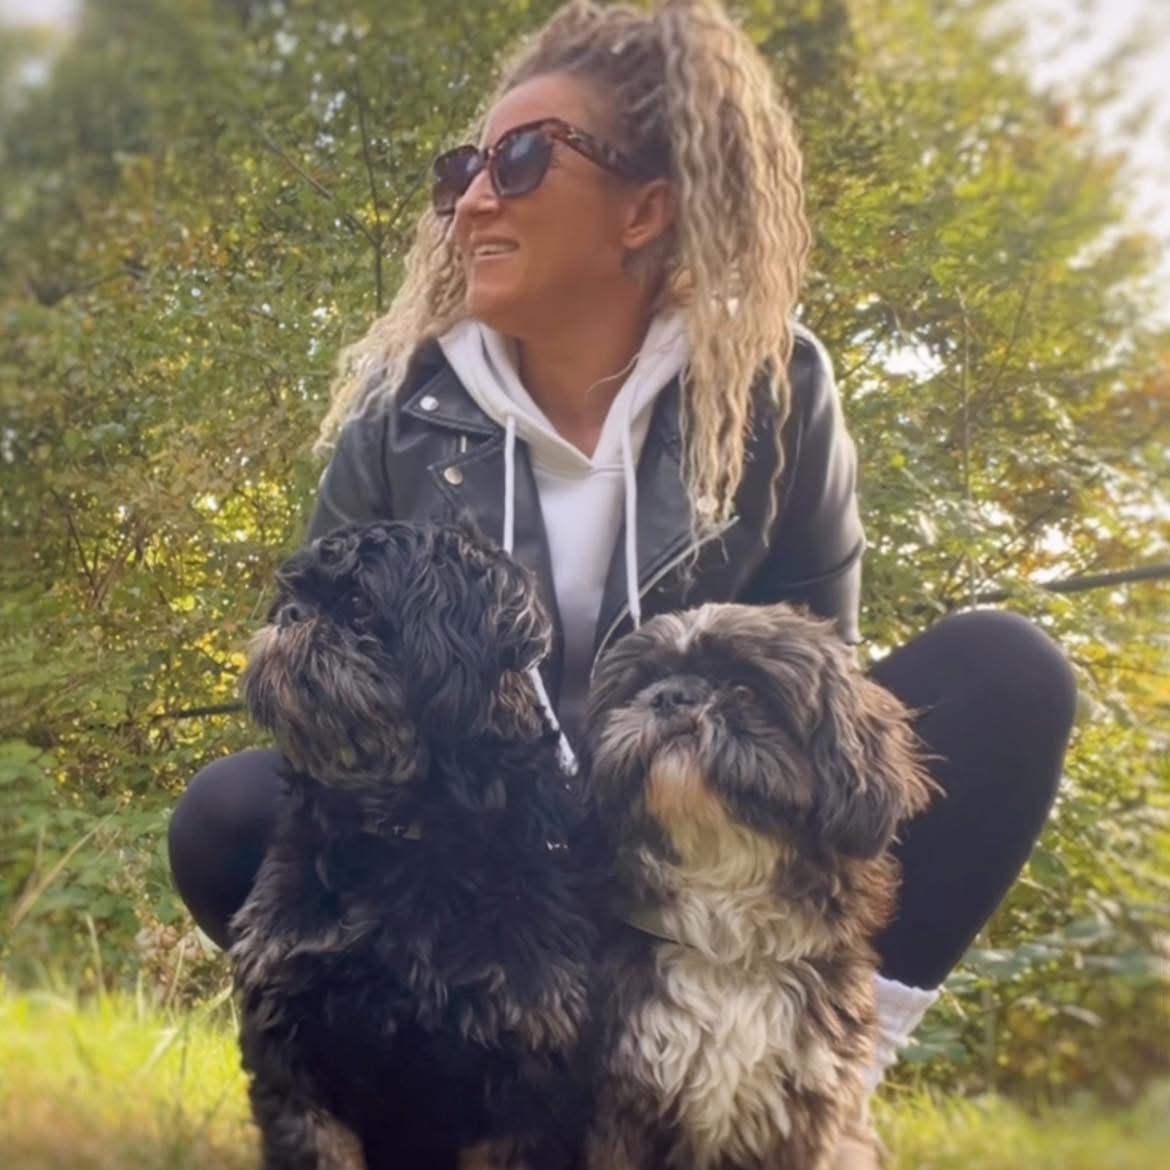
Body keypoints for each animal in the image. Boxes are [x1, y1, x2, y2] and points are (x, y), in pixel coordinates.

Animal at [231, 519, 600, 1170]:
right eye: (289, 596)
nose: (291, 614)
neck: (400, 839)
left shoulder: (527, 1064)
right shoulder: (289, 1033)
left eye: (358, 603)